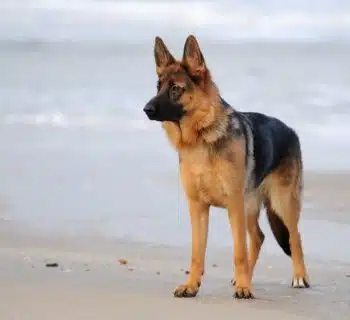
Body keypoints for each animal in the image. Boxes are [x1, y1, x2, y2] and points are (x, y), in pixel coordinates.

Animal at [142, 35, 308, 300]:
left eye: (175, 88)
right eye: (158, 87)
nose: (146, 109)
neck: (201, 138)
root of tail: (290, 130)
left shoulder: (233, 205)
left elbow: (239, 251)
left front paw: (244, 288)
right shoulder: (198, 207)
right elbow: (197, 253)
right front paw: (191, 285)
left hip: (282, 204)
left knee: (295, 238)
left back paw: (299, 277)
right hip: (250, 206)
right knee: (259, 237)